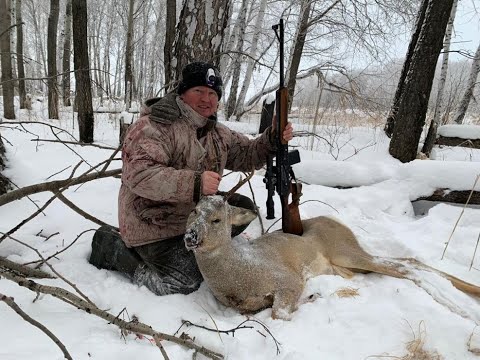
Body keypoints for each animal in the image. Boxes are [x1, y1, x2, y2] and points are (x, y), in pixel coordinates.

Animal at [184, 195, 480, 320]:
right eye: (194, 210)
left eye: (216, 219)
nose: (190, 236)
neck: (237, 274)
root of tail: (335, 221)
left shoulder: (287, 278)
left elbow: (280, 313)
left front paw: (313, 297)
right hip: (343, 264)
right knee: (406, 262)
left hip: (345, 250)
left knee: (405, 266)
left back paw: (463, 309)